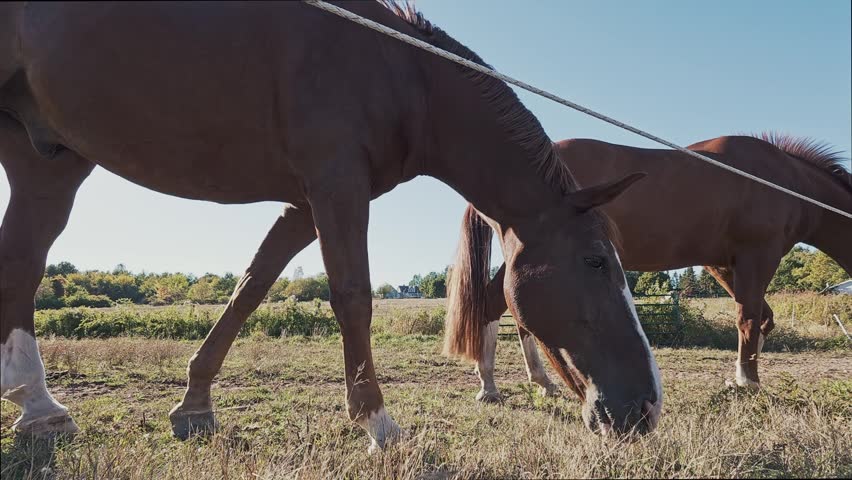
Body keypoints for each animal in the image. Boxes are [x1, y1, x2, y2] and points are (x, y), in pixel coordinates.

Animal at [0, 1, 661, 449]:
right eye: (597, 262)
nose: (646, 409)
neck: (399, 72)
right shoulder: (337, 186)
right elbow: (352, 296)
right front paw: (377, 421)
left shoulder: (302, 204)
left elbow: (250, 289)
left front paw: (194, 403)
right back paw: (37, 403)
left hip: (46, 156)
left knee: (23, 259)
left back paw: (38, 407)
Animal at [460, 134, 852, 403]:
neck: (784, 182)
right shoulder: (757, 256)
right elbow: (749, 319)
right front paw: (747, 382)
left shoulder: (722, 264)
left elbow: (761, 320)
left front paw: (741, 377)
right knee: (492, 303)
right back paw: (490, 386)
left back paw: (541, 383)